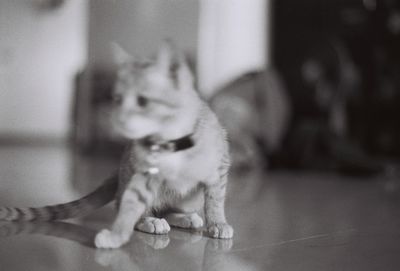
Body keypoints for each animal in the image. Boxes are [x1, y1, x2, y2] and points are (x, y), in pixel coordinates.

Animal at [0, 42, 234, 249]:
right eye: (117, 99)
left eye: (142, 101)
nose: (119, 119)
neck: (171, 142)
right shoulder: (144, 175)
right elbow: (131, 205)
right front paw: (116, 236)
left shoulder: (219, 168)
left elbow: (215, 201)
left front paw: (218, 223)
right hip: (132, 177)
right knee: (129, 204)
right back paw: (150, 220)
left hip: (189, 198)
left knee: (168, 207)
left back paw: (183, 217)